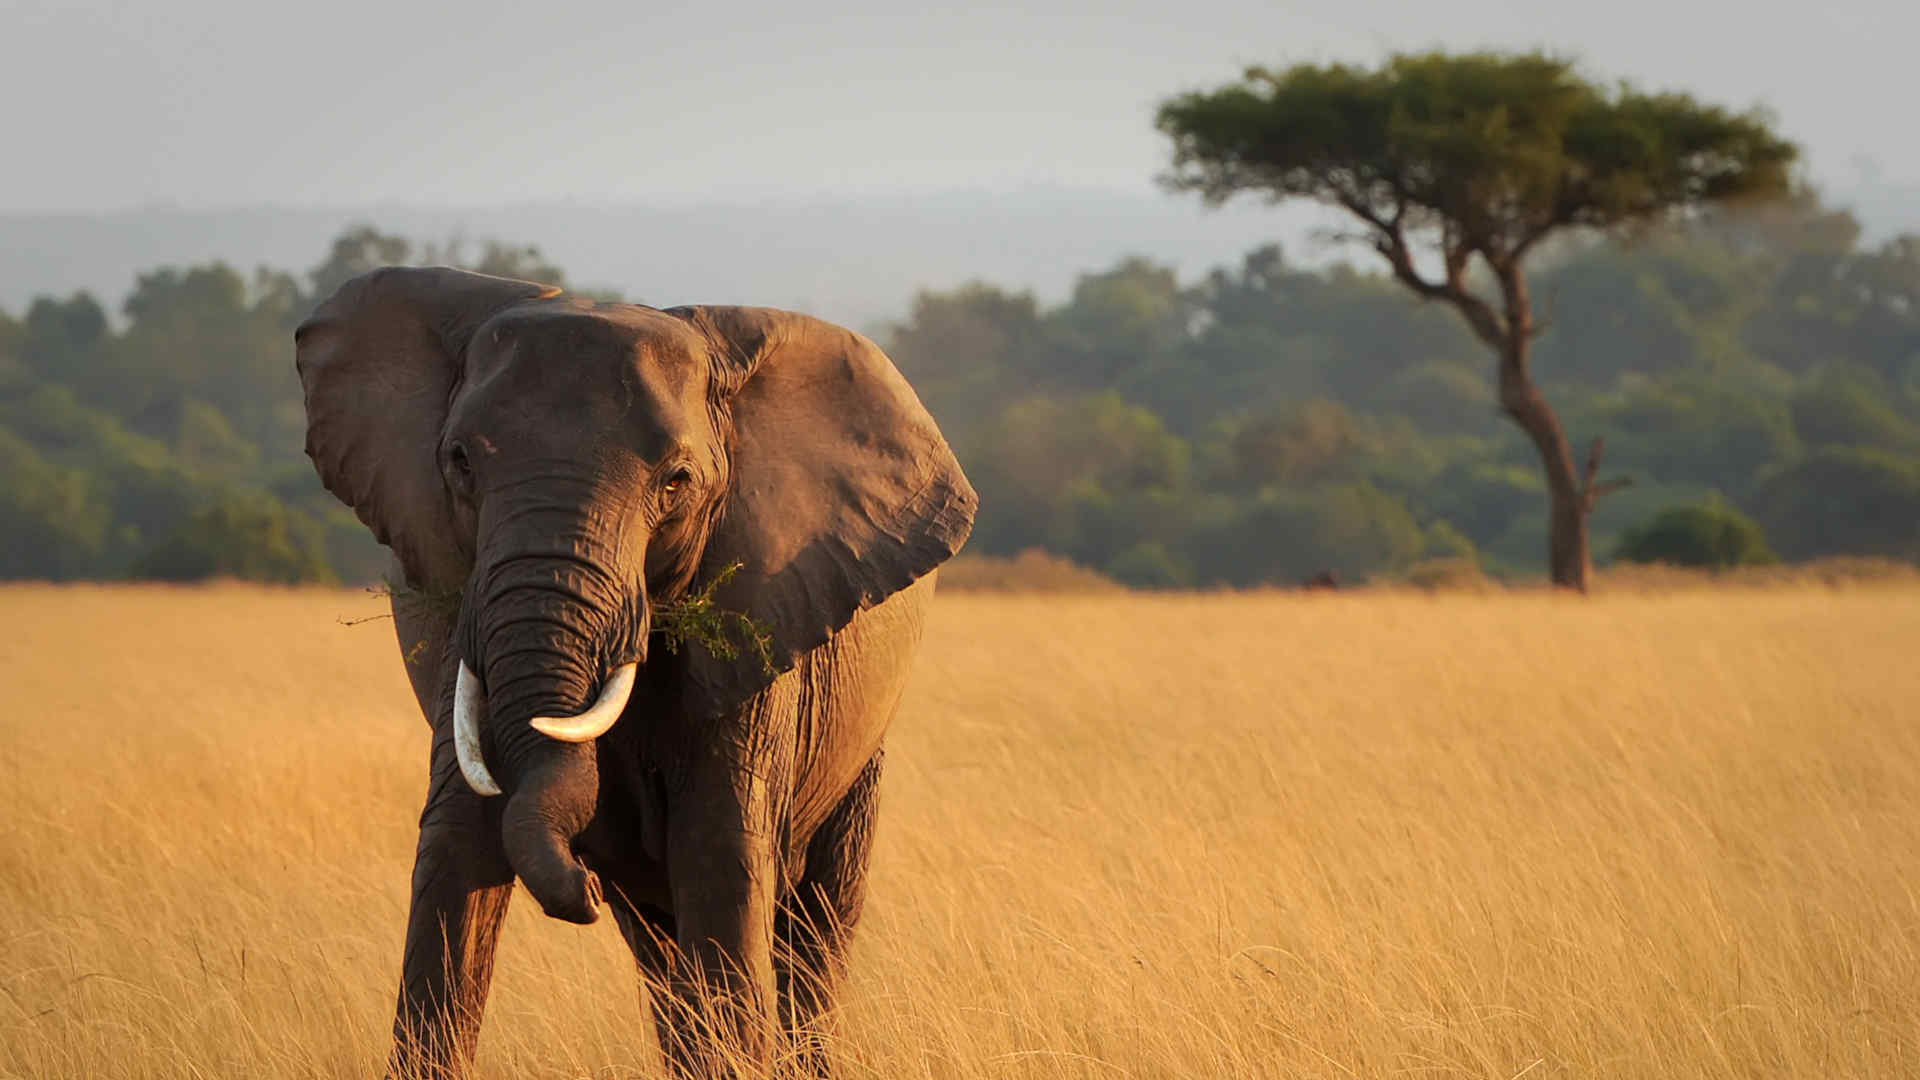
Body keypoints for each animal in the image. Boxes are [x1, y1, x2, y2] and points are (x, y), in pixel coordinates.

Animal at [291, 265, 983, 1068]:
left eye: (677, 481)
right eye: (459, 461)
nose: (583, 891)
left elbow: (720, 858)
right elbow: (457, 852)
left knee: (816, 922)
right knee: (660, 947)